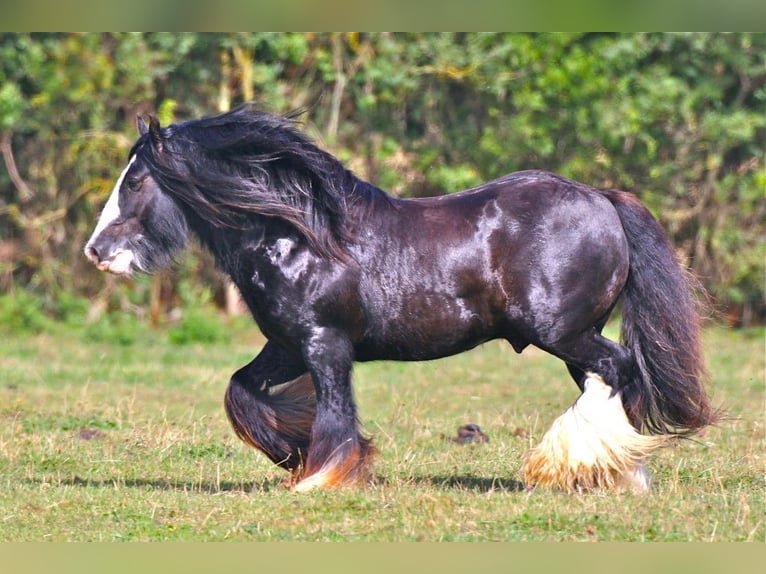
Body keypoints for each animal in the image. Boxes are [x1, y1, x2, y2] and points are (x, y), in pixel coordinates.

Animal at [85, 106, 720, 492]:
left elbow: (334, 411)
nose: (97, 251)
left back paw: (578, 465)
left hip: (563, 333)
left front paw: (320, 478)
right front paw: (295, 458)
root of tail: (602, 199)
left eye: (136, 180)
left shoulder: (324, 344)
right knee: (612, 381)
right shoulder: (286, 346)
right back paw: (614, 471)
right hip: (572, 338)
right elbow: (243, 391)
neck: (300, 233)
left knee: (617, 370)